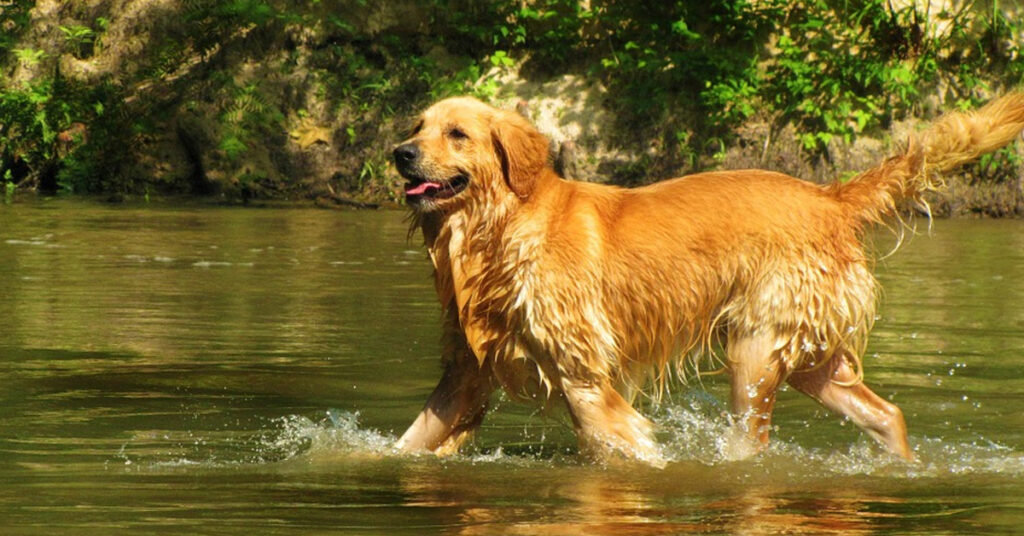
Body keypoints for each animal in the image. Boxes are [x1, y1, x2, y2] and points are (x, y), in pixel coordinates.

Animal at [389, 93, 1024, 465]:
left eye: (457, 133)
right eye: (417, 126)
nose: (399, 153)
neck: (498, 230)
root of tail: (830, 197)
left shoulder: (583, 378)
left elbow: (624, 445)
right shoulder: (468, 372)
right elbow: (405, 442)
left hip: (756, 348)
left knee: (752, 444)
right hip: (809, 358)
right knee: (887, 413)